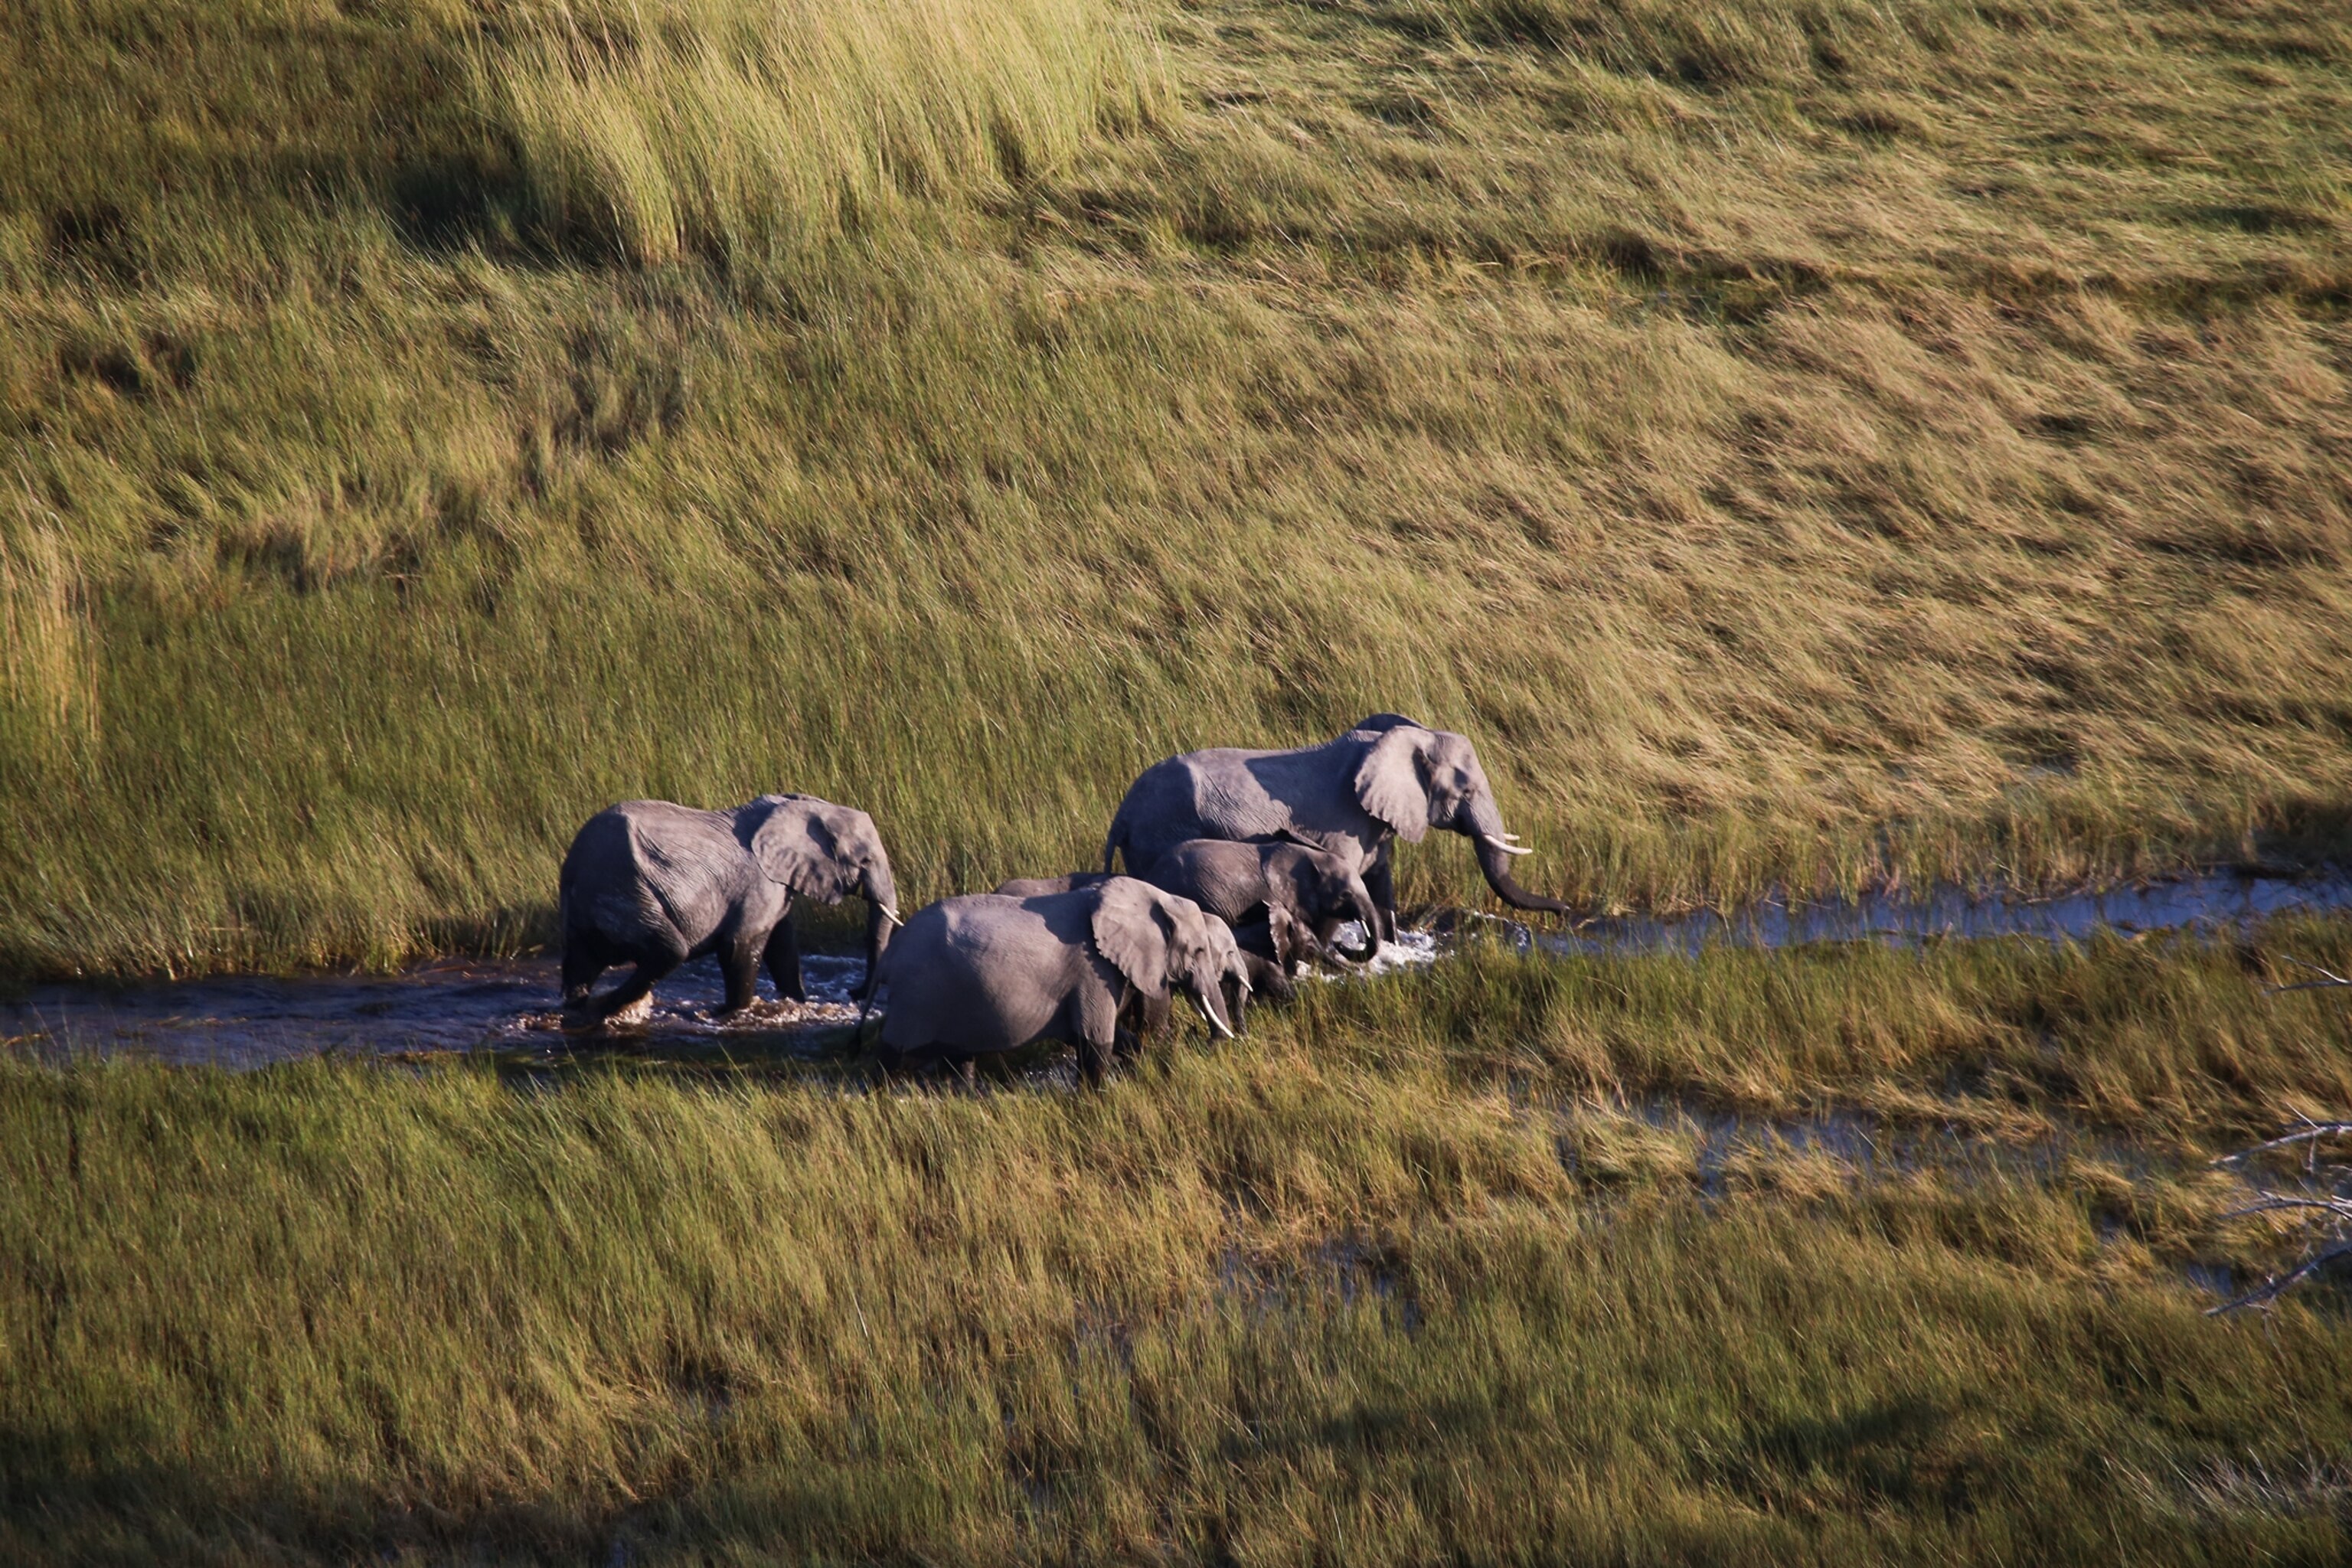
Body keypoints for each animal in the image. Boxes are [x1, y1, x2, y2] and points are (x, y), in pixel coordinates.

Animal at [559, 794, 898, 1029]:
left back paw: (578, 1009)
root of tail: (573, 865)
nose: (853, 992)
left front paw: (798, 1005)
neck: (802, 806)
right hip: (621, 889)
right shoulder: (760, 882)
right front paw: (732, 1015)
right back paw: (600, 1009)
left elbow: (782, 947)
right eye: (865, 861)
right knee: (669, 951)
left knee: (581, 963)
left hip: (588, 905)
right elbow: (741, 945)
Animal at [873, 877, 1239, 1086]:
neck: (1152, 895)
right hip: (916, 994)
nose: (1205, 1046)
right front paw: (1097, 1098)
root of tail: (889, 956)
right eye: (1199, 950)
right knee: (892, 1055)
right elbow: (1095, 1040)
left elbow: (1092, 1037)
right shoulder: (1091, 969)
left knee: (959, 1056)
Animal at [1101, 714, 1569, 942]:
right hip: (1159, 832)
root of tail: (1122, 811)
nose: (1565, 912)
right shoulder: (1342, 825)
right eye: (1467, 789)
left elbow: (1381, 889)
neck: (1400, 739)